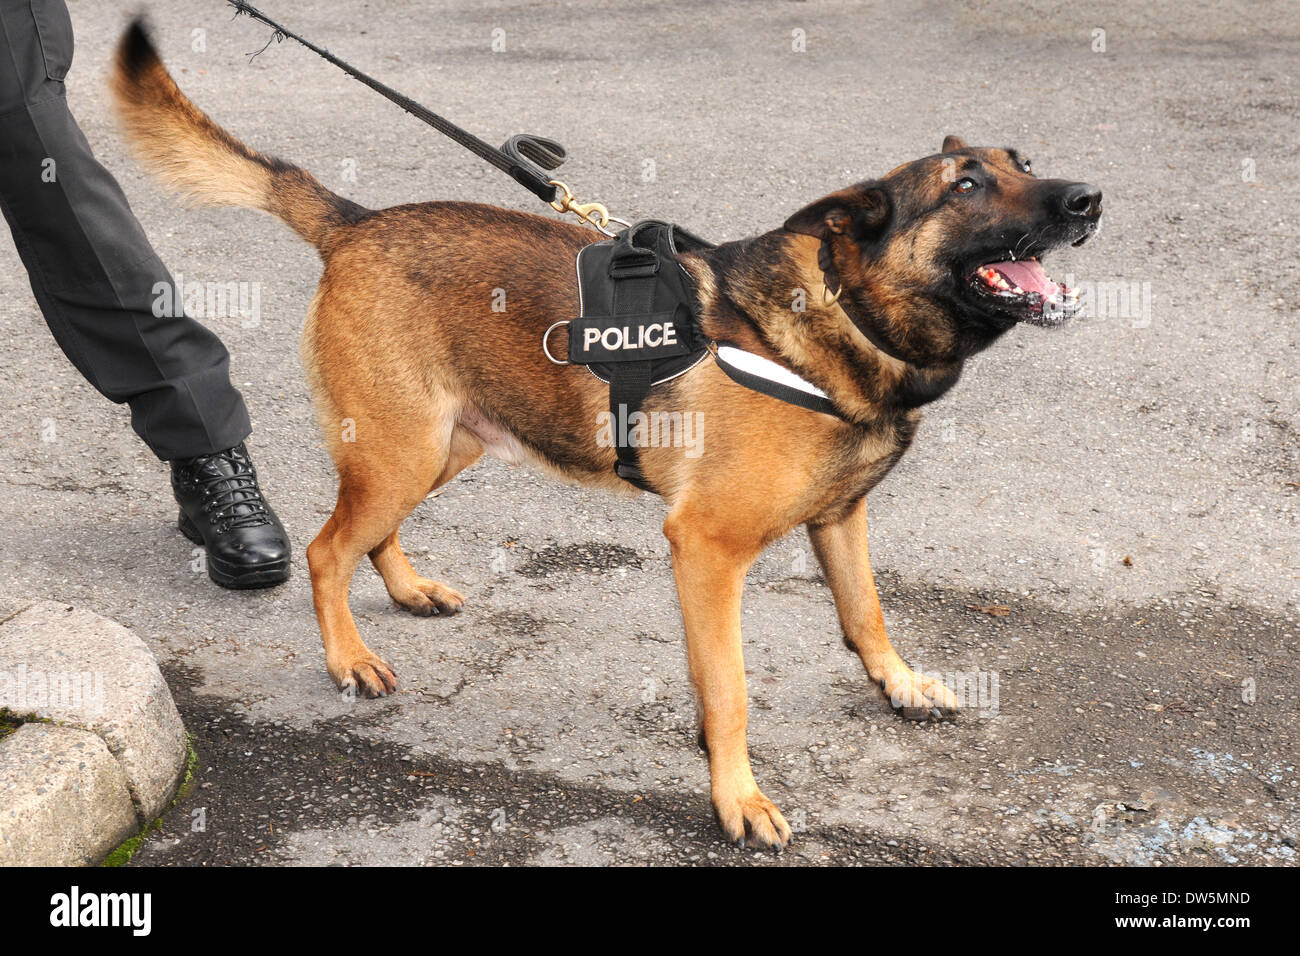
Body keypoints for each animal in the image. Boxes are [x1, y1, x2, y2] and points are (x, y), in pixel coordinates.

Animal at [111, 18, 1097, 848]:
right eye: (965, 186)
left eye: (1023, 162)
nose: (1089, 198)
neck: (839, 318)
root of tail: (357, 222)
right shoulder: (706, 551)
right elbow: (729, 691)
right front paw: (736, 797)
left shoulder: (839, 519)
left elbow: (866, 614)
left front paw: (900, 685)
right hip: (403, 451)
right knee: (325, 549)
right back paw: (350, 658)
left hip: (442, 446)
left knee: (367, 534)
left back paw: (406, 587)